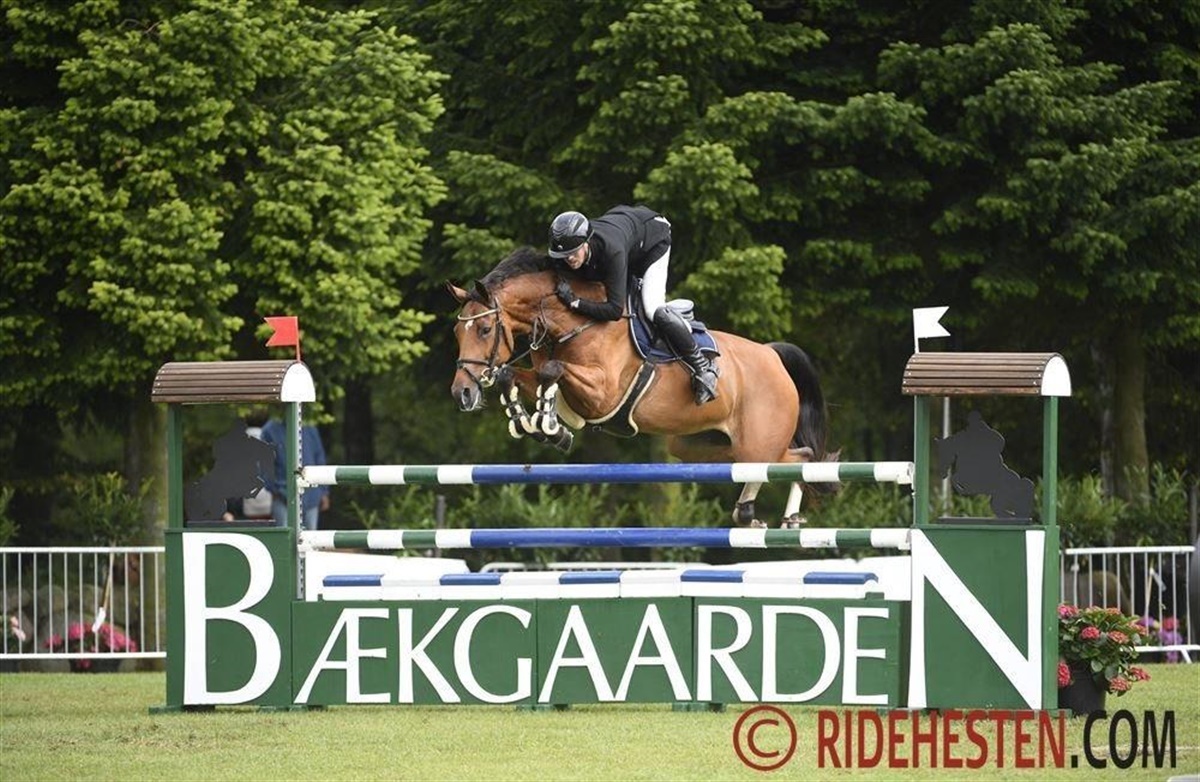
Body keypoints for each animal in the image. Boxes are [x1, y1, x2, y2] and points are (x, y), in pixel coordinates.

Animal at [451, 247, 835, 527]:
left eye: (484, 329)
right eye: (457, 332)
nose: (462, 393)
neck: (572, 322)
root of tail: (772, 355)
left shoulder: (602, 394)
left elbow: (552, 369)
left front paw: (546, 425)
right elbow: (513, 375)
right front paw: (536, 425)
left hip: (756, 443)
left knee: (796, 458)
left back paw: (757, 513)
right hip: (700, 446)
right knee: (796, 458)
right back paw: (781, 516)